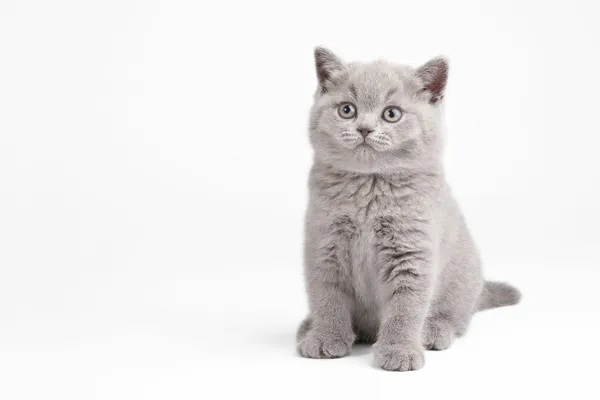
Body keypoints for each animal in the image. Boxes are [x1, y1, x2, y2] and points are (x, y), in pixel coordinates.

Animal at [296, 47, 520, 372]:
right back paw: (308, 327)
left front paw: (399, 351)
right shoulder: (324, 246)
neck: (370, 188)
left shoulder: (412, 252)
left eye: (392, 114)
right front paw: (326, 337)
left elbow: (406, 307)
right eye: (347, 110)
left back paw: (433, 331)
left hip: (464, 275)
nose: (364, 128)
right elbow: (326, 296)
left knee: (455, 317)